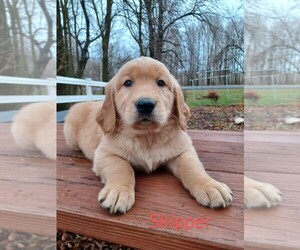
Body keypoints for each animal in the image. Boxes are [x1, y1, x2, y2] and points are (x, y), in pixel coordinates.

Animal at [63, 56, 232, 213]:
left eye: (161, 83)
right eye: (128, 83)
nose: (145, 105)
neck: (148, 137)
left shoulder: (184, 151)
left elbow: (193, 167)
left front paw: (211, 186)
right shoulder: (105, 153)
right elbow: (121, 167)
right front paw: (118, 191)